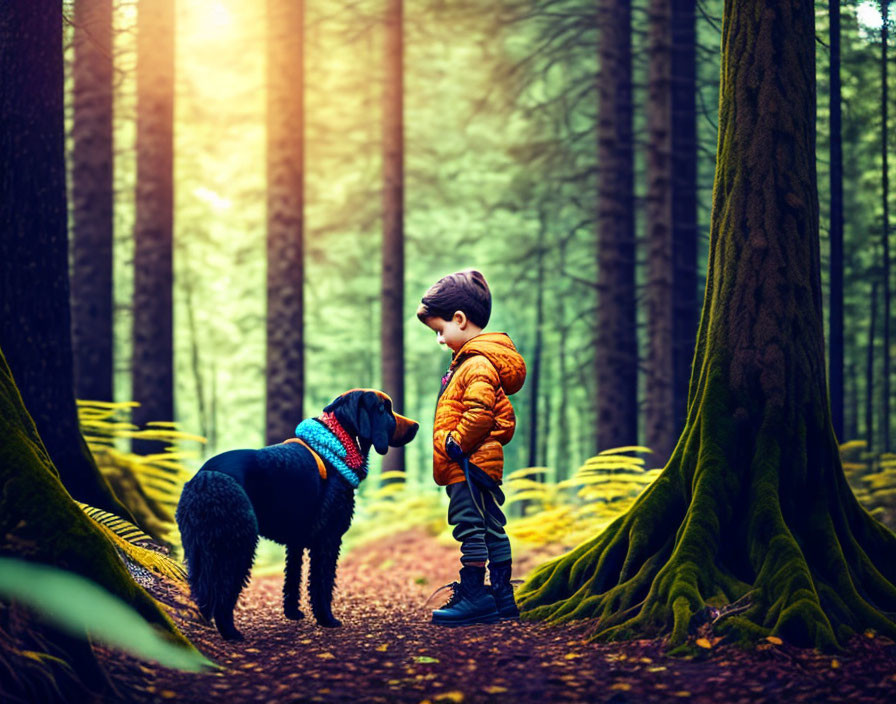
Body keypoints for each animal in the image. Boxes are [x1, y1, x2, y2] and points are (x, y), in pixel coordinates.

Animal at [177, 388, 418, 640]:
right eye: (385, 408)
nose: (417, 426)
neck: (336, 443)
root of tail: (205, 479)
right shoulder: (328, 539)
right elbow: (322, 583)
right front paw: (326, 619)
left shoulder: (296, 541)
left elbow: (292, 579)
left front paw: (292, 613)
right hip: (236, 547)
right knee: (223, 593)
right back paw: (231, 633)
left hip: (199, 550)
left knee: (201, 590)